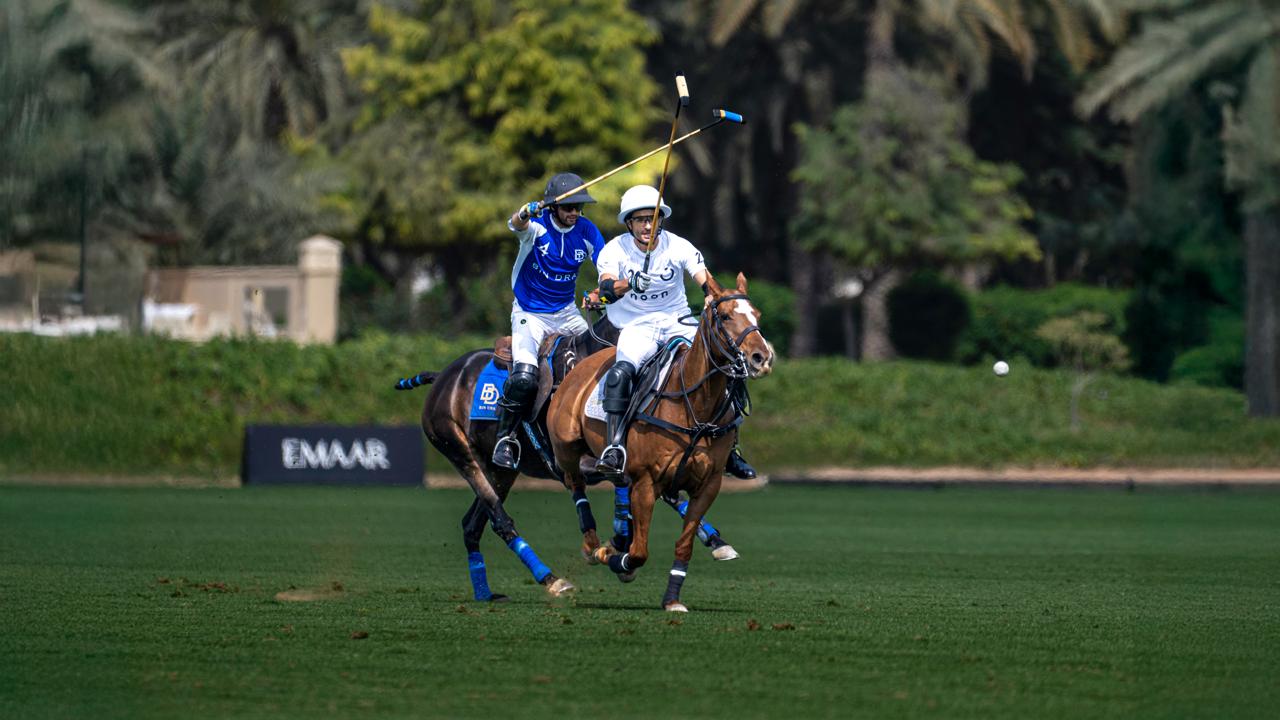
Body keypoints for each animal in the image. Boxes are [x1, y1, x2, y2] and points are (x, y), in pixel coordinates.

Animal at [393, 310, 742, 602]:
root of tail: (443, 375)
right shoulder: (574, 463)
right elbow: (631, 487)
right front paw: (618, 546)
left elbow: (666, 493)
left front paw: (716, 542)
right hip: (460, 451)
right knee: (500, 519)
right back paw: (550, 579)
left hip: (502, 471)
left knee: (472, 524)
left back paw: (485, 592)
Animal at [547, 273, 775, 611]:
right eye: (724, 316)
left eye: (756, 314)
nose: (761, 358)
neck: (696, 405)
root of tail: (584, 364)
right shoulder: (645, 481)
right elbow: (640, 552)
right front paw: (616, 560)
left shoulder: (708, 484)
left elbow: (683, 545)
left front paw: (672, 599)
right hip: (566, 447)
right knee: (575, 484)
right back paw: (592, 546)